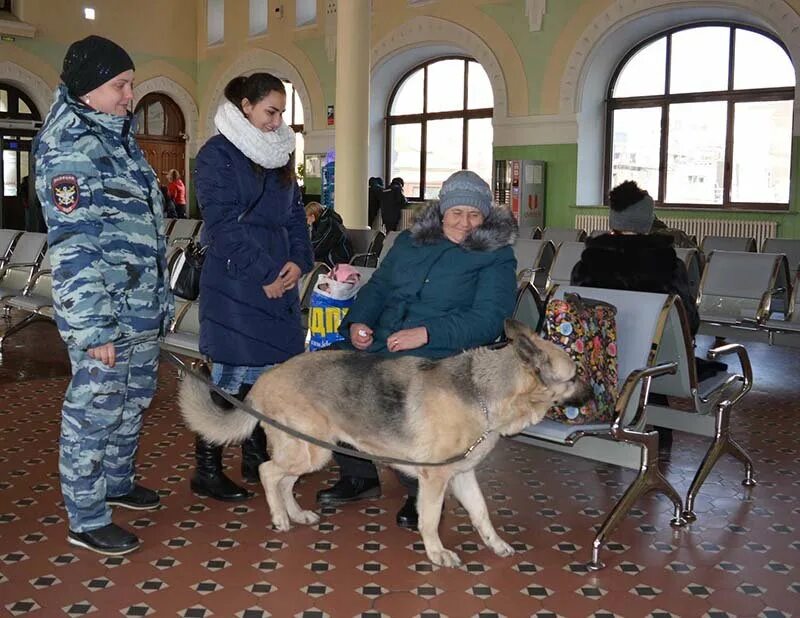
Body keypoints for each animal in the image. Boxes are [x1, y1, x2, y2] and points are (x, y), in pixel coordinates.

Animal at [183, 320, 592, 564]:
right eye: (574, 376)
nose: (593, 395)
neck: (482, 394)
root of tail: (265, 378)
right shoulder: (435, 480)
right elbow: (430, 519)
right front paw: (436, 552)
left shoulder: (463, 477)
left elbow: (481, 513)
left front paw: (496, 544)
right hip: (310, 450)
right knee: (270, 473)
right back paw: (281, 518)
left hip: (312, 451)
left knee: (284, 482)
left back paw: (296, 514)